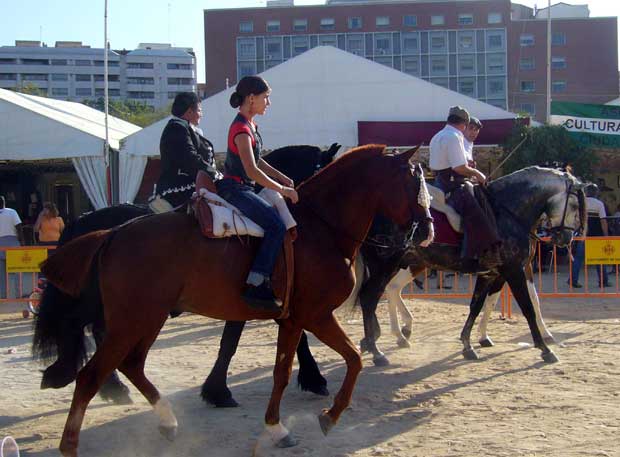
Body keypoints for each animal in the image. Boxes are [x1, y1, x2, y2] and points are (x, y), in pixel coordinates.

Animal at [42, 144, 432, 454]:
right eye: (414, 182)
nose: (426, 231)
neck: (318, 229)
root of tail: (113, 232)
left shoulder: (294, 318)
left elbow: (294, 368)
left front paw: (286, 422)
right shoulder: (313, 315)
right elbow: (341, 361)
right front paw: (319, 414)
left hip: (147, 318)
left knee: (131, 364)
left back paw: (166, 420)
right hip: (131, 321)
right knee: (90, 375)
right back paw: (75, 434)